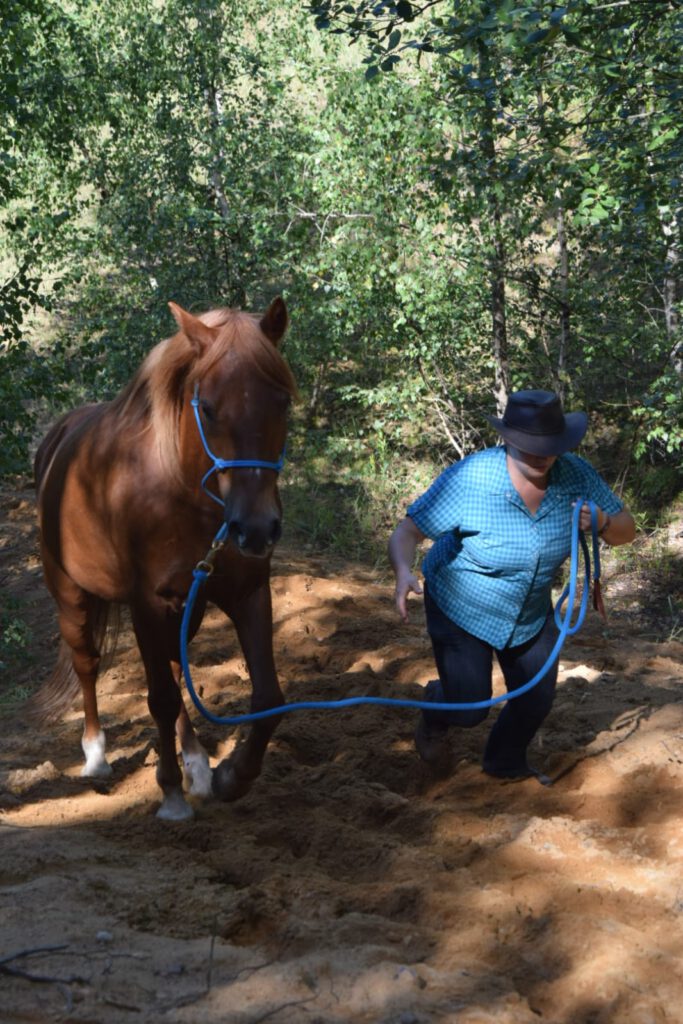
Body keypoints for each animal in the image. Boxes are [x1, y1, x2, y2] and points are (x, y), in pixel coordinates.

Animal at [31, 294, 294, 815]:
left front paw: (230, 775)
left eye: (283, 402)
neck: (182, 494)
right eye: (207, 407)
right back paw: (97, 757)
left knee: (174, 665)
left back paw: (196, 762)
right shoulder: (147, 604)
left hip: (183, 608)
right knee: (88, 665)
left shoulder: (247, 592)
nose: (256, 528)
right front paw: (171, 792)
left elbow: (267, 697)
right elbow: (160, 699)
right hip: (71, 598)